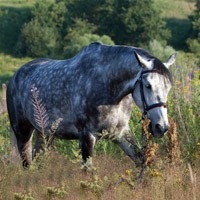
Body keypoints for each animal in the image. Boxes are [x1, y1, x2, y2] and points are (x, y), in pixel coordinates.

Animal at [6, 42, 176, 167]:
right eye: (148, 85)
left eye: (168, 87)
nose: (161, 127)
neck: (106, 87)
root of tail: (14, 77)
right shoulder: (87, 136)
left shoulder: (121, 134)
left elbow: (141, 160)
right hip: (22, 131)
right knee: (27, 163)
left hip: (45, 134)